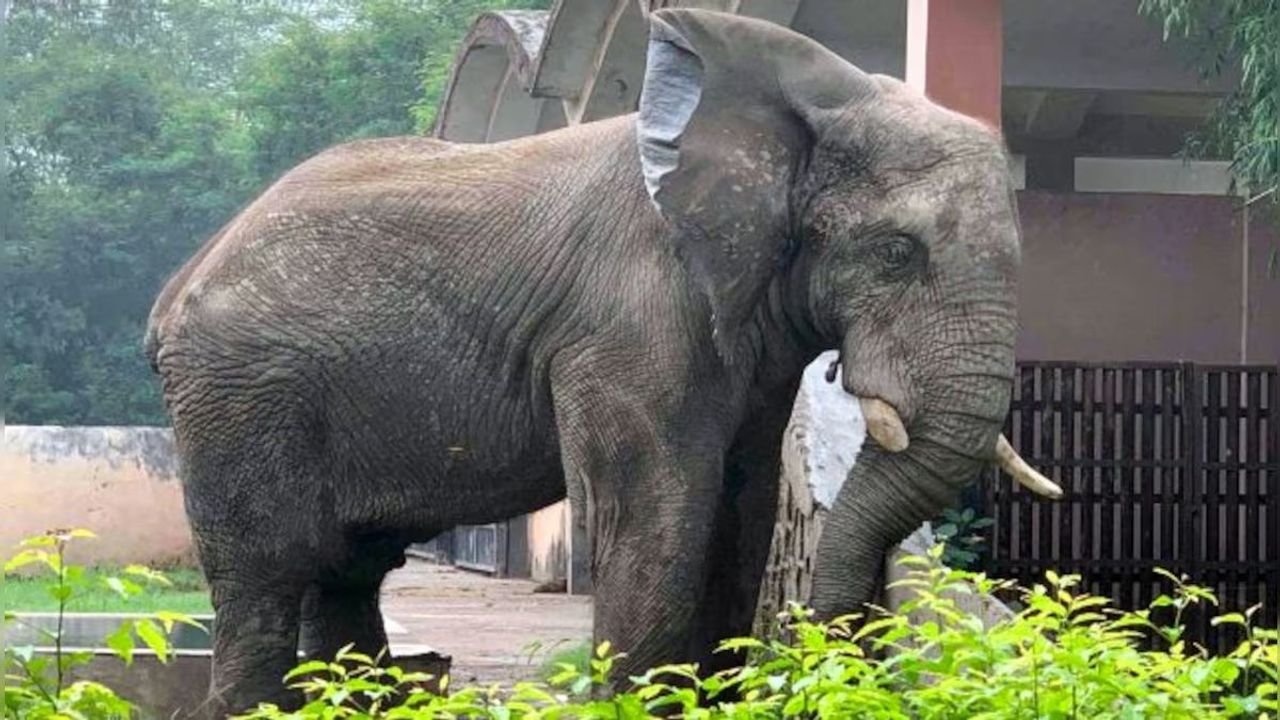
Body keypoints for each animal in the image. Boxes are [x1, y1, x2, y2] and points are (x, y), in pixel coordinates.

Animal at [145, 8, 1059, 714]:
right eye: (898, 253)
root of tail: (181, 282)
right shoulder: (630, 318)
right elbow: (663, 512)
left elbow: (744, 509)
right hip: (239, 391)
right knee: (269, 569)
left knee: (348, 571)